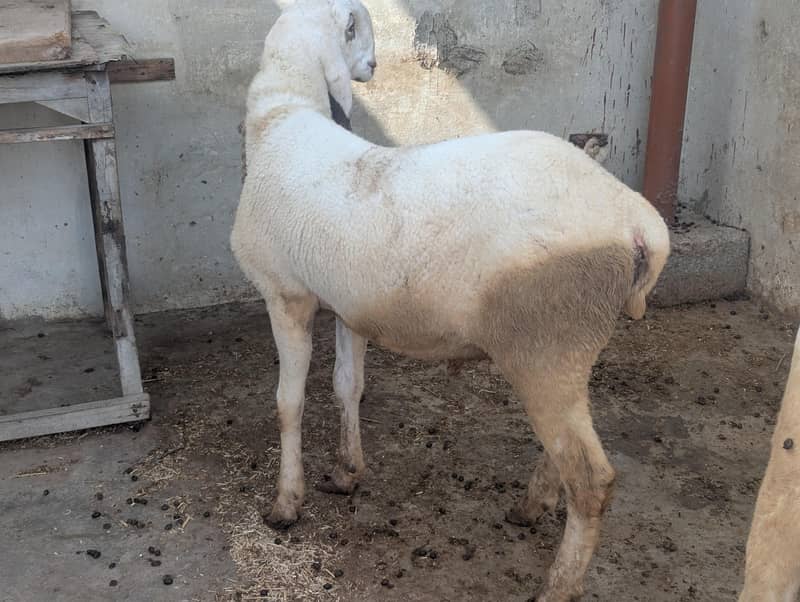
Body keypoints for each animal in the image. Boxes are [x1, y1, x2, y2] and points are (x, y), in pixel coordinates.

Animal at [230, 0, 670, 600]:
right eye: (355, 34)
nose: (373, 65)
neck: (282, 118)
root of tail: (636, 218)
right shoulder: (348, 306)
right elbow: (348, 386)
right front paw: (346, 472)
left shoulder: (286, 296)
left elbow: (288, 403)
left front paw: (285, 504)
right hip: (571, 347)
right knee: (567, 450)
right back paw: (533, 505)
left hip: (546, 344)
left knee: (591, 479)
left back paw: (558, 583)